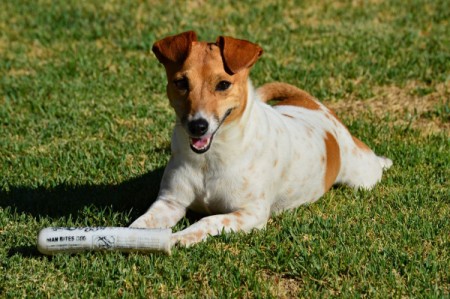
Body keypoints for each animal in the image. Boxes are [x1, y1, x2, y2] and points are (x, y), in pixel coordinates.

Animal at [129, 31, 390, 248]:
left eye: (223, 84)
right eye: (181, 83)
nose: (198, 126)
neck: (212, 158)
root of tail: (312, 103)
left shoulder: (250, 213)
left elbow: (208, 221)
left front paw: (180, 237)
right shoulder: (170, 202)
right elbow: (142, 223)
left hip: (362, 176)